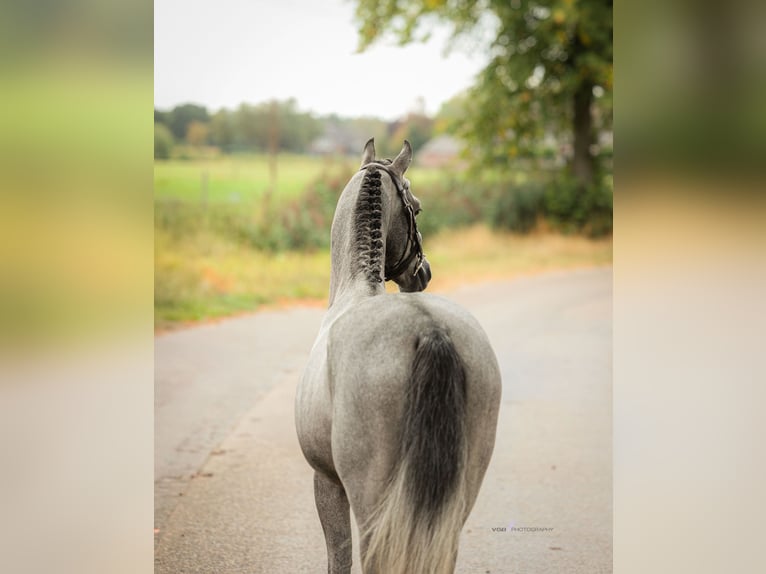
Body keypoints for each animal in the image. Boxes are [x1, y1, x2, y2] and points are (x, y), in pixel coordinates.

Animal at [295, 138, 501, 574]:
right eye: (417, 208)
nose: (424, 273)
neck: (354, 290)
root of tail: (430, 330)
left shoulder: (327, 480)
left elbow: (339, 556)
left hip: (372, 501)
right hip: (456, 499)